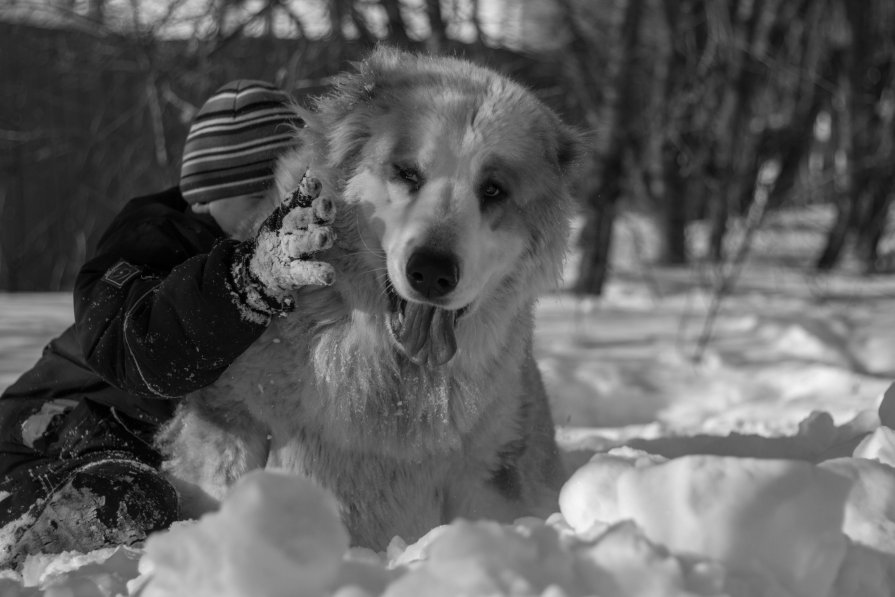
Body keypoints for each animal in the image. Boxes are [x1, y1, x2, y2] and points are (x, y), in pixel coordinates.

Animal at [158, 47, 584, 548]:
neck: (394, 381)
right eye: (407, 173)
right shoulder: (230, 417)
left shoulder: (492, 467)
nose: (432, 271)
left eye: (493, 189)